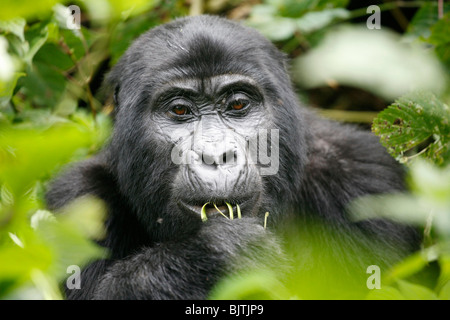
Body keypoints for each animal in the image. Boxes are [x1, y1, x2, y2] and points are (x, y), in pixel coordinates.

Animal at [45, 15, 418, 300]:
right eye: (180, 110)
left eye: (238, 104)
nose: (215, 155)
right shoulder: (76, 197)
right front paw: (215, 257)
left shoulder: (363, 178)